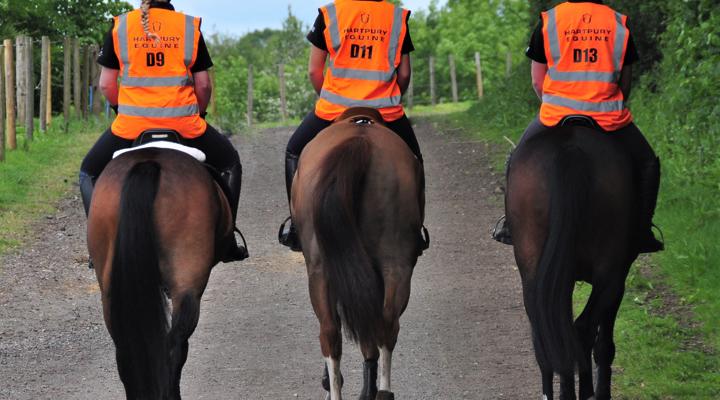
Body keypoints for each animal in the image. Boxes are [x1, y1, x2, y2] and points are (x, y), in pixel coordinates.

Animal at [291, 107, 426, 400]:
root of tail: (360, 140)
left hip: (322, 268)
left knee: (332, 331)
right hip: (395, 261)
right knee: (384, 323)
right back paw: (381, 392)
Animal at [506, 121, 641, 400]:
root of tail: (569, 150)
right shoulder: (620, 275)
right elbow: (604, 343)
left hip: (534, 269)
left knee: (550, 332)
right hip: (611, 274)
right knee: (583, 329)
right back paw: (586, 391)